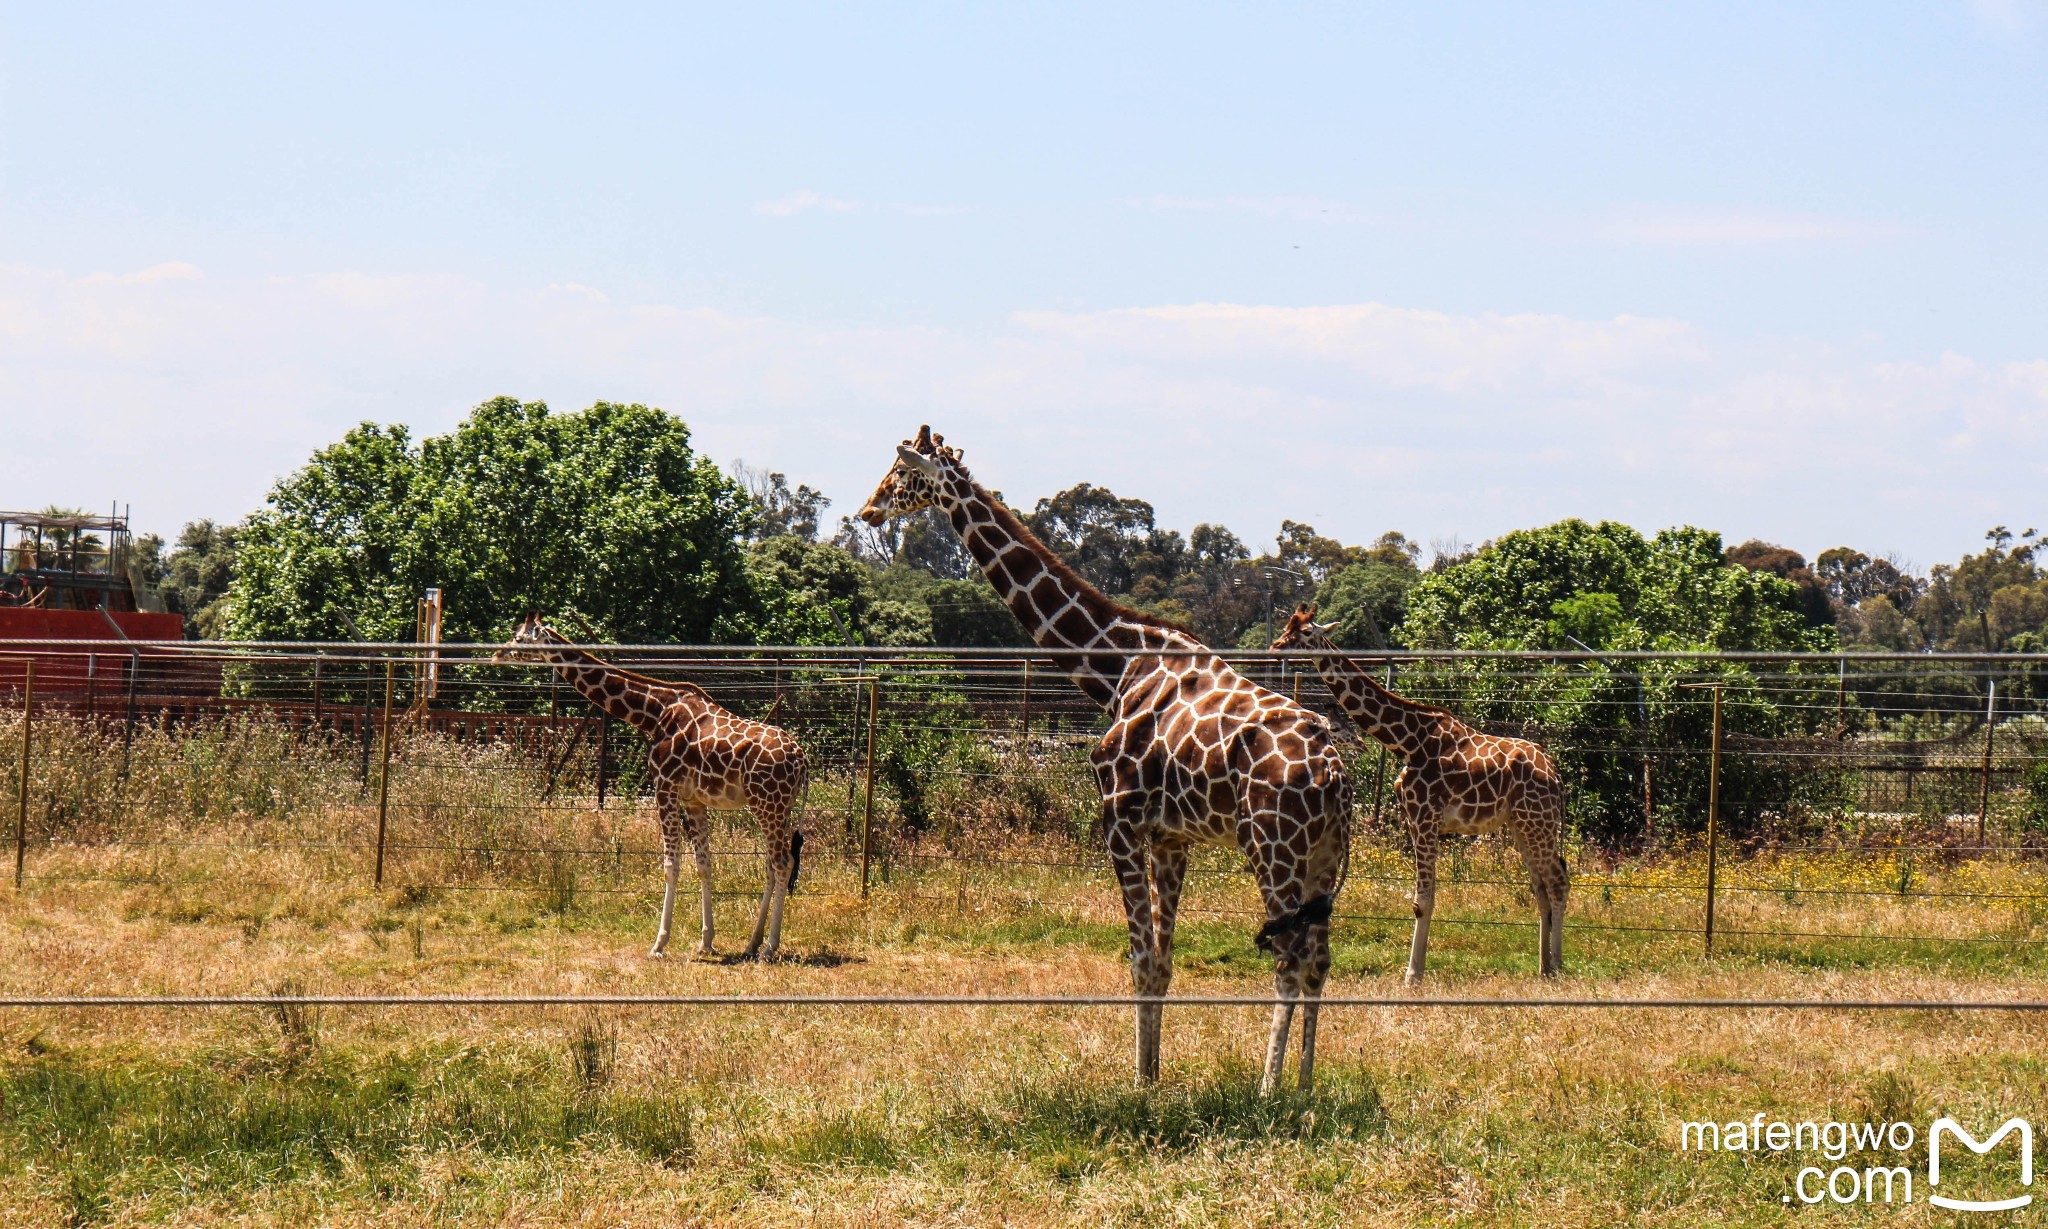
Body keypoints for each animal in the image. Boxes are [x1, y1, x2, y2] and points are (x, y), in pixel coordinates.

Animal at [493, 614, 806, 958]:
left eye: (519, 638)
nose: (497, 654)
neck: (653, 713)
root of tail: (802, 759)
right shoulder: (694, 800)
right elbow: (704, 864)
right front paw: (706, 941)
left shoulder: (664, 787)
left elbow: (671, 865)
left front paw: (659, 943)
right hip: (777, 806)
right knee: (772, 864)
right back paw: (752, 943)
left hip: (768, 803)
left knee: (782, 863)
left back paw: (770, 947)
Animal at [856, 428, 1351, 1089]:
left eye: (900, 474)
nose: (867, 510)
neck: (1116, 666)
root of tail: (1336, 774)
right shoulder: (1172, 836)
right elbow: (1163, 961)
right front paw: (1154, 1076)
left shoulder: (1120, 817)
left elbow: (1140, 958)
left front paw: (1138, 1086)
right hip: (1322, 855)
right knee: (1320, 957)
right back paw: (1303, 1085)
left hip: (1274, 847)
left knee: (1290, 957)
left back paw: (1270, 1088)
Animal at [1261, 610, 1564, 983]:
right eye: (1286, 627)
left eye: (1304, 633)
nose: (1275, 647)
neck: (1407, 740)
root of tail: (1555, 773)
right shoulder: (1414, 818)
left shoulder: (1425, 816)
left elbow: (1424, 900)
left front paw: (1412, 975)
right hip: (1523, 825)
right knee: (1541, 887)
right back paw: (1544, 967)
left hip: (1538, 822)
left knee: (1558, 882)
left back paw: (1558, 964)